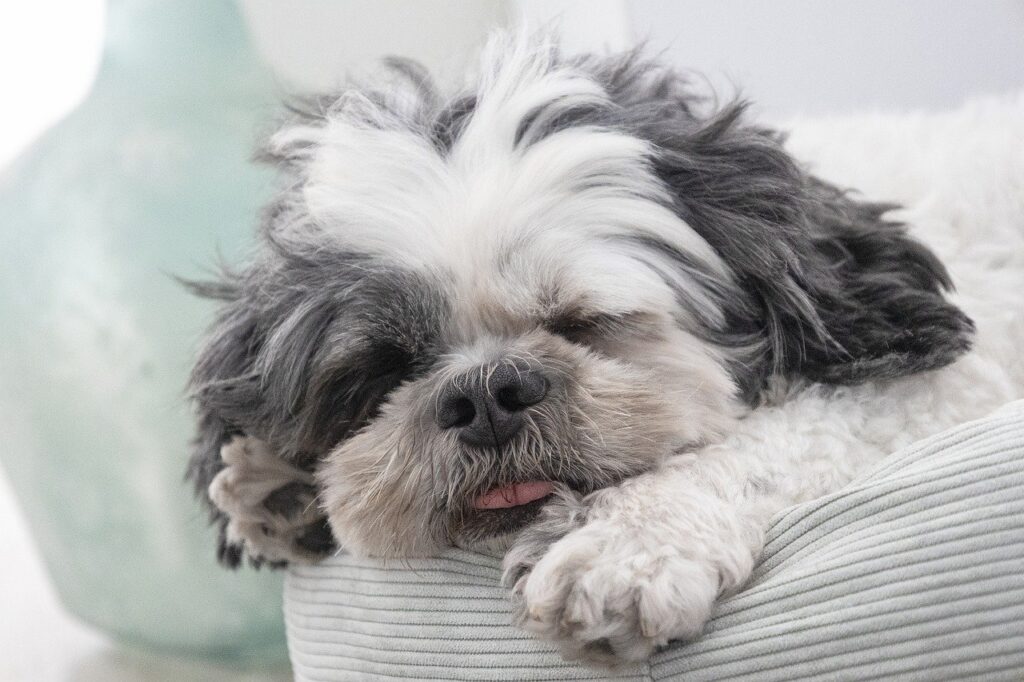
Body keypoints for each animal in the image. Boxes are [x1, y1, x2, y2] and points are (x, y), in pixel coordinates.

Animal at [182, 33, 1007, 663]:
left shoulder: (940, 389)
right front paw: (279, 485)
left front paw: (626, 542)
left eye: (583, 322)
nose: (484, 393)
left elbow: (788, 432)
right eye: (387, 369)